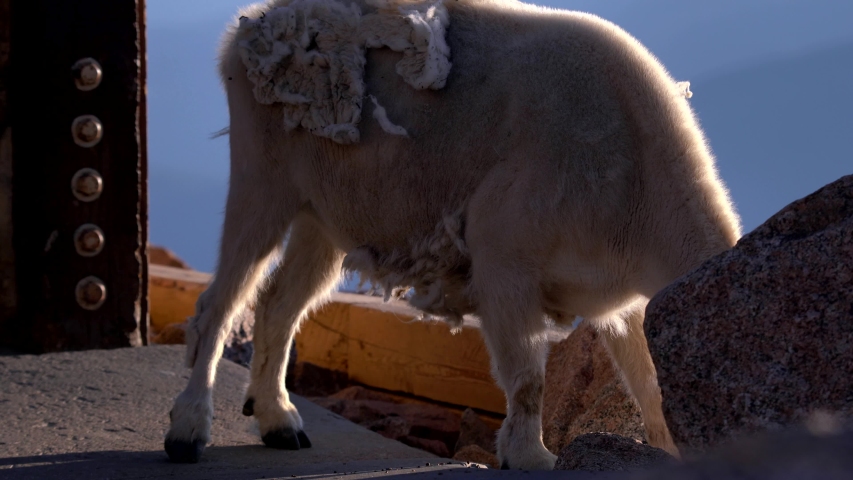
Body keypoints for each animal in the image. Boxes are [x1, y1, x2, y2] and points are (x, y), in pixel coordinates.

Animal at [164, 0, 741, 470]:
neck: (636, 176)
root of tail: (243, 31)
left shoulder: (624, 300)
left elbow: (648, 384)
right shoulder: (505, 256)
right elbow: (527, 376)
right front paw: (528, 456)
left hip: (320, 217)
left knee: (280, 304)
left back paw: (280, 422)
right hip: (263, 178)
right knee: (222, 299)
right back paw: (188, 431)